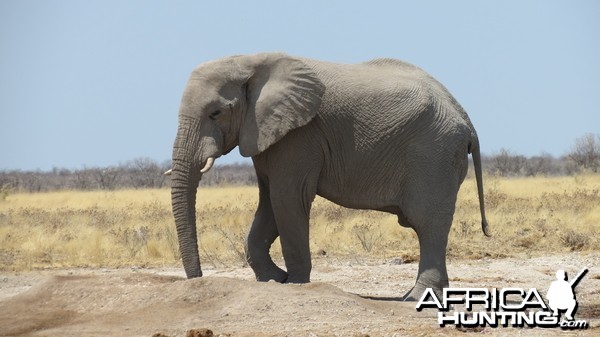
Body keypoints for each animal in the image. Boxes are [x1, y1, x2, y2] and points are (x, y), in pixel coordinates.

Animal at [166, 51, 490, 300]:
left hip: (434, 155)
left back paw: (415, 297)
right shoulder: (266, 133)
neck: (251, 61)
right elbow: (269, 202)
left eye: (216, 113)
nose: (198, 279)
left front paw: (295, 283)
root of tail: (467, 120)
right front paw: (276, 280)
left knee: (428, 224)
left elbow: (288, 199)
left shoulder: (299, 136)